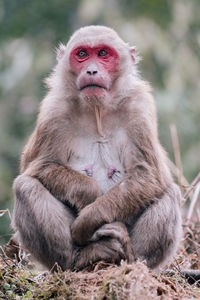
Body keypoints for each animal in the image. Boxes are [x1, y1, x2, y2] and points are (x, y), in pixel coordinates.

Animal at [9, 25, 182, 272]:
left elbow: (148, 173)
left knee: (169, 192)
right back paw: (81, 258)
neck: (97, 111)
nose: (91, 70)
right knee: (25, 186)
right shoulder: (54, 111)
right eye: (82, 54)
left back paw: (132, 257)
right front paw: (90, 195)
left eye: (103, 54)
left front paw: (91, 216)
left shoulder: (139, 107)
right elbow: (39, 166)